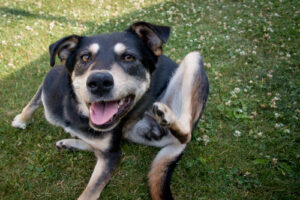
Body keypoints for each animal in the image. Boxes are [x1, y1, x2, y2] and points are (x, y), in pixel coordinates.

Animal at [11, 21, 209, 200]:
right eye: (85, 57)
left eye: (128, 57)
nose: (99, 82)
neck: (78, 114)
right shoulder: (48, 84)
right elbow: (33, 102)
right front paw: (21, 119)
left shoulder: (112, 156)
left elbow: (90, 192)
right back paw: (70, 143)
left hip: (193, 59)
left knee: (186, 134)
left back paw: (166, 115)